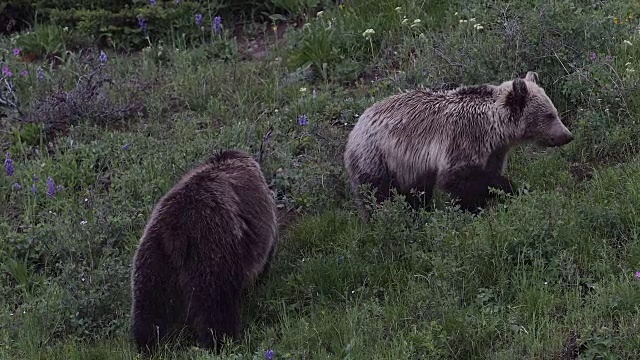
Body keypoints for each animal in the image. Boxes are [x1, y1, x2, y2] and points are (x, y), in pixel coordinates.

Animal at [129, 149, 278, 354]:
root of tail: (175, 232)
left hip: (152, 257)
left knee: (149, 305)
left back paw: (147, 344)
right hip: (211, 252)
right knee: (216, 305)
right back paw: (221, 342)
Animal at [344, 70, 576, 219]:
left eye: (554, 111)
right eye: (549, 115)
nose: (567, 135)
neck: (494, 129)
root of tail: (356, 124)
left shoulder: (494, 152)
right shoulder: (462, 140)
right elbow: (460, 181)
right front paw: (503, 191)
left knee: (415, 194)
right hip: (376, 157)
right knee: (376, 194)